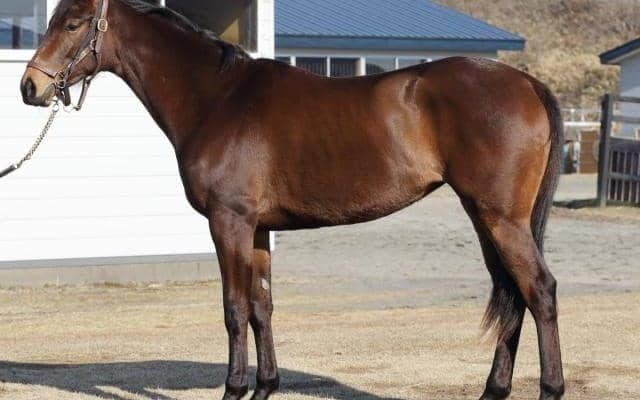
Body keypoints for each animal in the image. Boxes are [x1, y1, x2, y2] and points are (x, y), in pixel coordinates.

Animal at [19, 1, 565, 399]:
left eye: (72, 23)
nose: (30, 86)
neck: (216, 98)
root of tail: (528, 83)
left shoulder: (229, 222)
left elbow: (234, 308)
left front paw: (234, 389)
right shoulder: (258, 228)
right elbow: (262, 307)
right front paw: (265, 386)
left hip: (501, 218)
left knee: (539, 291)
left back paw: (551, 387)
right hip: (485, 217)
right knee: (512, 293)